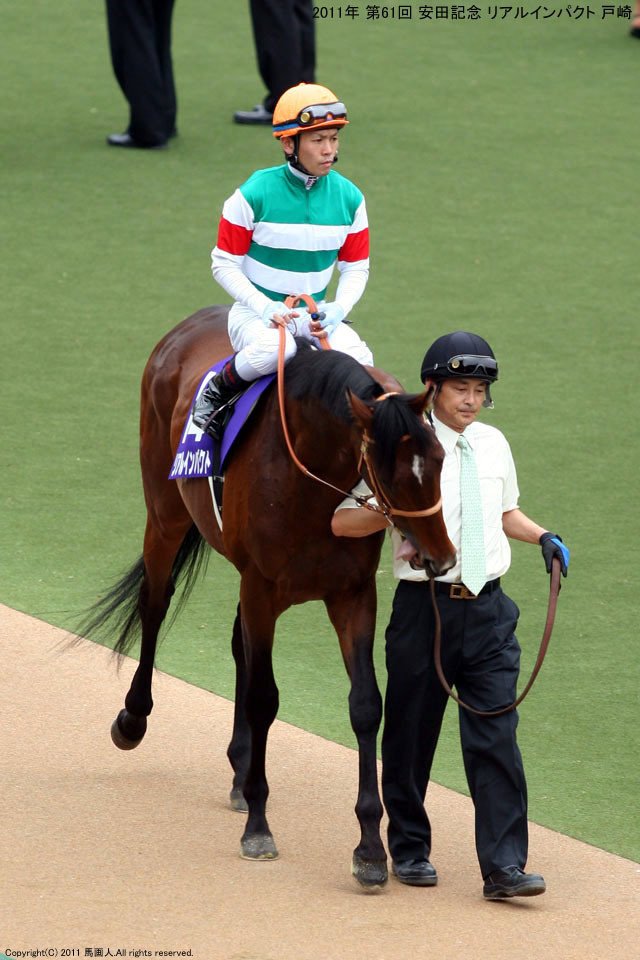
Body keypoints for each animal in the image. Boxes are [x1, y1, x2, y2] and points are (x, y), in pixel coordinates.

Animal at [80, 305, 456, 889]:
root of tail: (191, 324)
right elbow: (263, 697)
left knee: (239, 645)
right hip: (165, 514)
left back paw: (238, 769)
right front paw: (258, 827)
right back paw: (133, 718)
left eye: (439, 457)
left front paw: (370, 849)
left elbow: (365, 705)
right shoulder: (261, 585)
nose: (439, 557)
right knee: (155, 603)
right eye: (390, 473)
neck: (315, 482)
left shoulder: (351, 593)